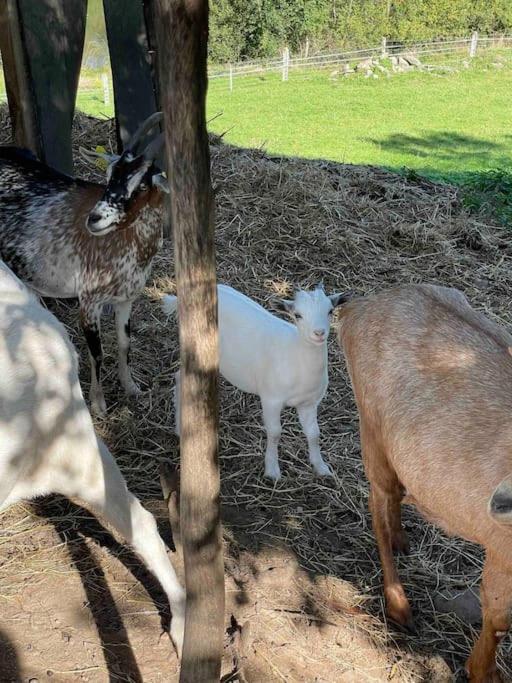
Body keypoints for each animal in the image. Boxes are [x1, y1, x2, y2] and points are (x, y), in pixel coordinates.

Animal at [0, 111, 170, 416]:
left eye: (141, 185)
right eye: (109, 175)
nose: (95, 219)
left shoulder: (126, 299)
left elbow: (125, 344)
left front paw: (131, 387)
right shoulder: (89, 301)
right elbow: (97, 353)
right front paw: (98, 404)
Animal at [164, 284, 348, 480]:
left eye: (330, 310)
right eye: (297, 315)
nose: (319, 333)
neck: (295, 355)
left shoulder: (309, 402)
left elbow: (314, 433)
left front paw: (321, 467)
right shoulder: (271, 399)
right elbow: (275, 432)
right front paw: (272, 471)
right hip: (194, 347)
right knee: (180, 377)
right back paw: (180, 428)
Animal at [338, 282, 512, 680]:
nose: (501, 502)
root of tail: (356, 307)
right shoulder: (503, 556)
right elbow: (498, 617)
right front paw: (481, 671)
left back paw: (403, 540)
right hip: (373, 431)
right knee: (379, 501)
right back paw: (400, 607)